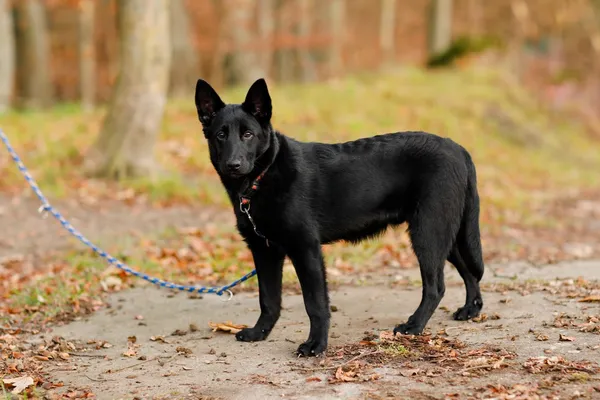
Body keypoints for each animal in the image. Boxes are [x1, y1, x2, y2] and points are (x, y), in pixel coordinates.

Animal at [195, 77, 486, 356]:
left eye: (248, 134)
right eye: (220, 135)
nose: (233, 165)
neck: (261, 178)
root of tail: (458, 149)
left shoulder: (305, 249)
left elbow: (314, 304)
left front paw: (316, 345)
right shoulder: (264, 251)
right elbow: (268, 300)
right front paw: (260, 333)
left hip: (427, 233)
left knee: (436, 286)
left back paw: (413, 326)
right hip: (444, 232)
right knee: (469, 271)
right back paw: (470, 310)